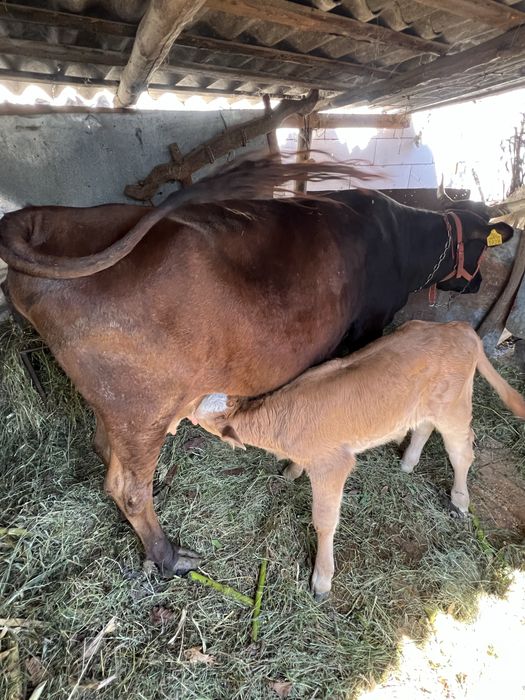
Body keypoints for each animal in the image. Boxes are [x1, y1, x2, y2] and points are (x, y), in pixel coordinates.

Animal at [0, 155, 514, 577]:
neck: (398, 242)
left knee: (105, 451)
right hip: (142, 407)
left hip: (115, 407)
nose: (479, 283)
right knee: (127, 487)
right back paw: (168, 557)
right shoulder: (366, 326)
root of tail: (46, 217)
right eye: (482, 245)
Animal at [194, 320, 525, 598]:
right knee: (424, 427)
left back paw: (458, 501)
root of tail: (459, 327)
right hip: (424, 406)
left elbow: (324, 521)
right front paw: (291, 471)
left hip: (453, 408)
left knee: (462, 451)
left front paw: (322, 580)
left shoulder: (333, 465)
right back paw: (407, 463)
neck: (280, 419)